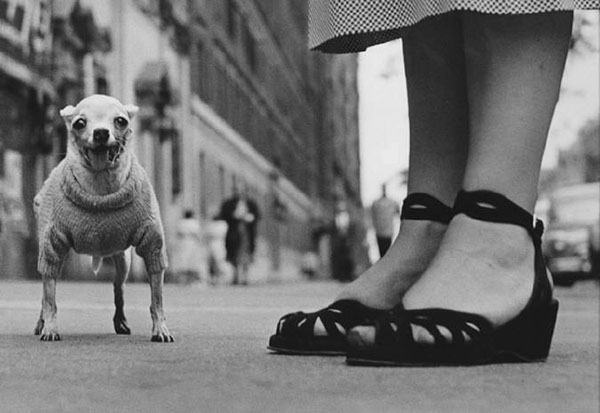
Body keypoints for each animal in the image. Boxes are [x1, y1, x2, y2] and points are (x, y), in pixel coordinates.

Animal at [34, 95, 172, 342]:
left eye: (121, 121)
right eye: (79, 123)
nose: (100, 133)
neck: (100, 188)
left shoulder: (153, 247)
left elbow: (157, 298)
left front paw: (161, 329)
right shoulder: (51, 247)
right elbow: (50, 298)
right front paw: (50, 327)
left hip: (123, 260)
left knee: (119, 288)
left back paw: (121, 321)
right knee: (45, 291)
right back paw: (41, 323)